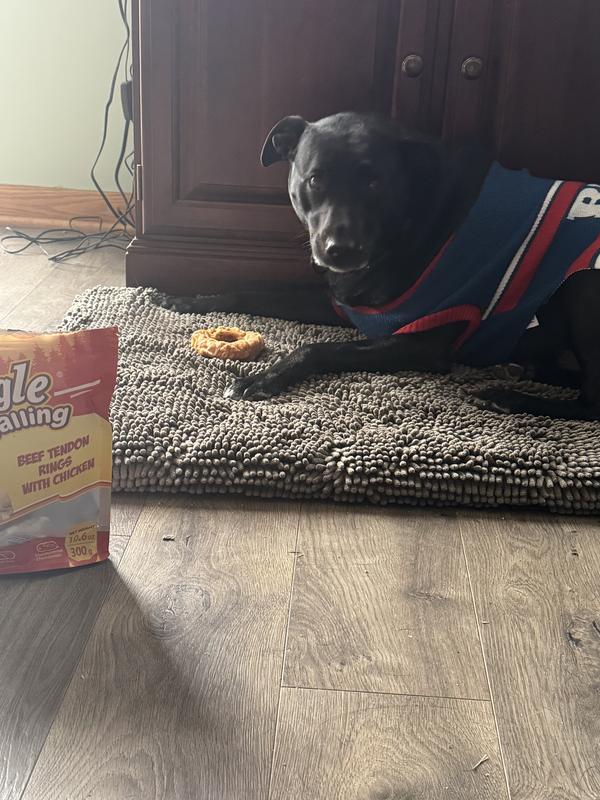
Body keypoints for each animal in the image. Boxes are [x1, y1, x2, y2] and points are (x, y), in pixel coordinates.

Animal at [184, 112, 600, 421]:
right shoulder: (345, 304)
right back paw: (526, 369)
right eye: (315, 179)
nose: (340, 251)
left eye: (374, 183)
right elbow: (250, 291)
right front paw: (188, 301)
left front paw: (263, 377)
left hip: (582, 286)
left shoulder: (424, 342)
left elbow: (317, 348)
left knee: (592, 404)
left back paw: (512, 396)